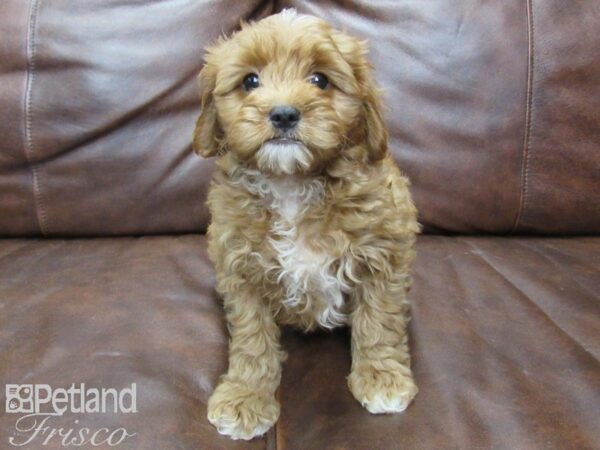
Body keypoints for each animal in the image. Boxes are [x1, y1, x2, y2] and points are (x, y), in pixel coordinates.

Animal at [195, 8, 420, 442]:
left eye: (320, 80)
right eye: (250, 81)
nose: (283, 113)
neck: (291, 184)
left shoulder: (383, 253)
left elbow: (380, 323)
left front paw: (381, 377)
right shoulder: (239, 267)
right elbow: (251, 338)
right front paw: (246, 396)